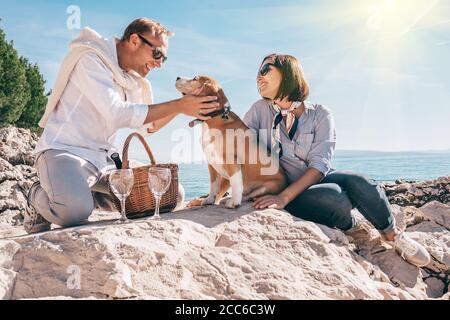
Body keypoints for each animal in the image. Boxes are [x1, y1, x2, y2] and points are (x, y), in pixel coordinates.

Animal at [174, 76, 286, 209]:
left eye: (195, 78)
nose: (177, 77)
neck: (215, 118)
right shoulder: (211, 163)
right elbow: (214, 185)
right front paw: (209, 199)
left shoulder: (232, 160)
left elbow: (235, 183)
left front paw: (234, 202)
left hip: (268, 186)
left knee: (251, 195)